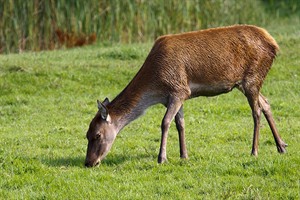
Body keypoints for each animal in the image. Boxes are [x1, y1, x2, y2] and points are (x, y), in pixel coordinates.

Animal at [84, 24, 286, 167]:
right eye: (86, 134)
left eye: (97, 135)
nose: (89, 163)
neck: (155, 87)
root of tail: (274, 44)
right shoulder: (175, 96)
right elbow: (180, 124)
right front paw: (184, 155)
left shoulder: (179, 90)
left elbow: (165, 123)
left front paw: (162, 158)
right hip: (245, 83)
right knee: (266, 103)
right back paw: (281, 146)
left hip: (252, 78)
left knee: (256, 111)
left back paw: (254, 151)